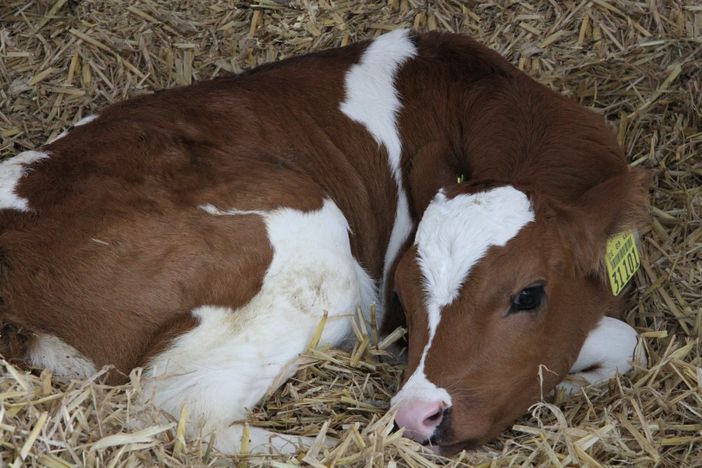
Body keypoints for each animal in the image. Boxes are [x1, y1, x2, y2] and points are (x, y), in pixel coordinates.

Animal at [0, 29, 648, 454]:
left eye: (529, 295)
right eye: (406, 296)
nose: (418, 416)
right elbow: (624, 339)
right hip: (324, 263)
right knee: (189, 413)